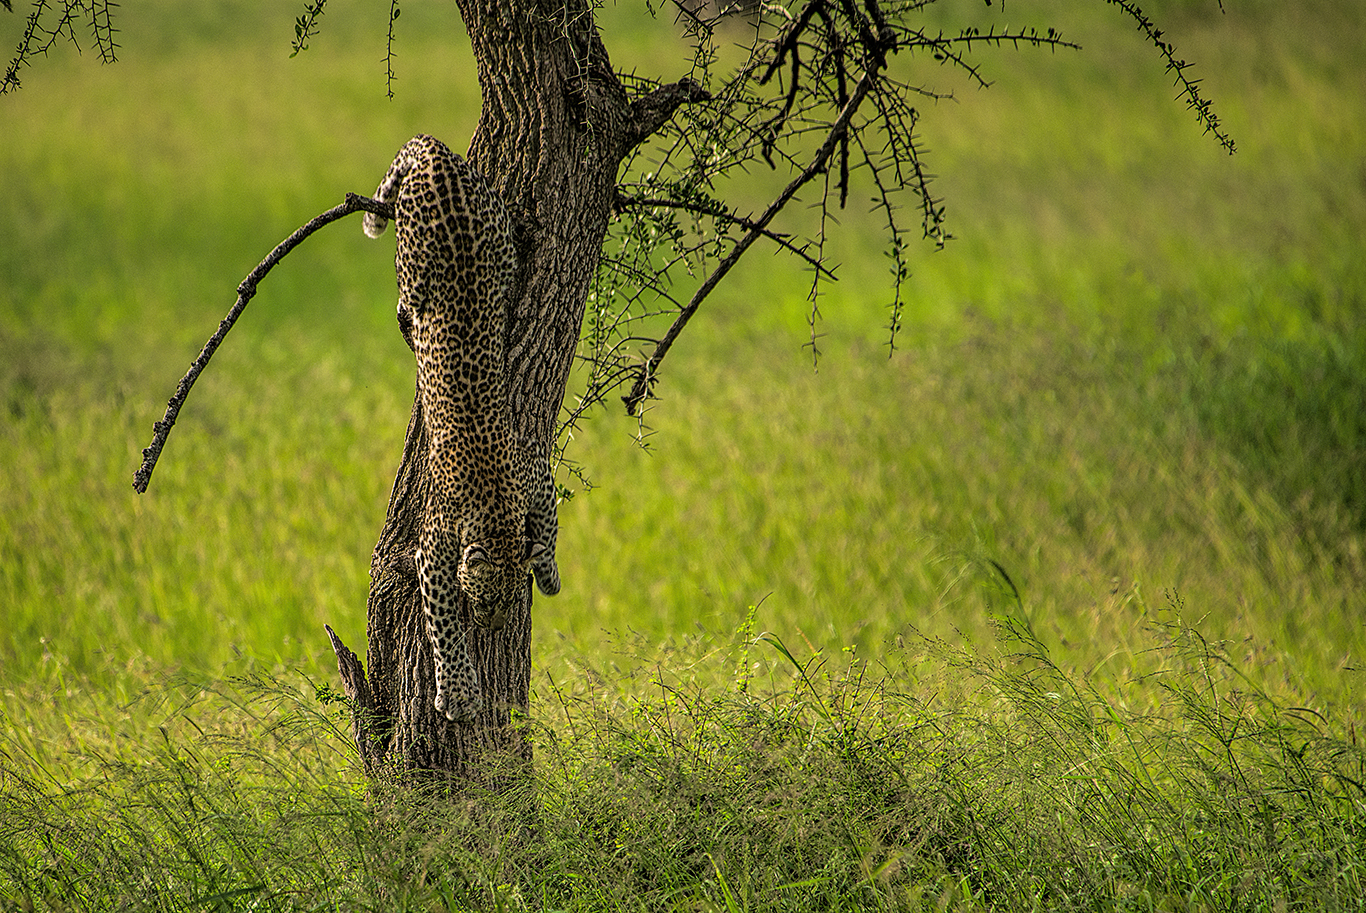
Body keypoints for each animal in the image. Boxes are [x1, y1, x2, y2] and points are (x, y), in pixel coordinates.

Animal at [364, 134, 560, 724]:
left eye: (511, 600)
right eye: (488, 600)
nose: (492, 628)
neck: (495, 512)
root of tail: (434, 153)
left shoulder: (534, 473)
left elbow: (548, 520)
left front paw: (549, 568)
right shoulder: (432, 552)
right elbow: (445, 625)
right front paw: (458, 693)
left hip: (496, 227)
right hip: (412, 261)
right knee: (407, 299)